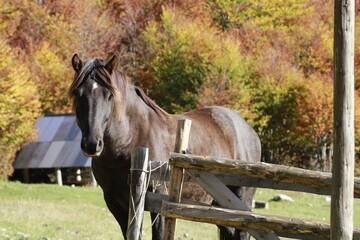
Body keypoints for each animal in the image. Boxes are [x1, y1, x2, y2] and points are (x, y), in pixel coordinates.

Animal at [69, 54, 260, 240]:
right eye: (78, 94)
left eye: (109, 95)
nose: (92, 144)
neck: (129, 141)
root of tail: (248, 129)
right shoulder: (117, 203)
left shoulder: (157, 201)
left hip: (241, 200)